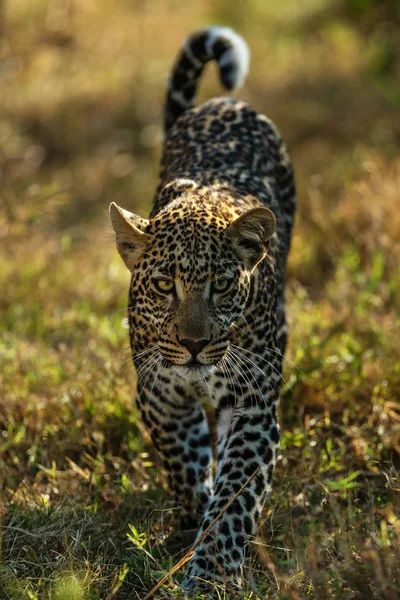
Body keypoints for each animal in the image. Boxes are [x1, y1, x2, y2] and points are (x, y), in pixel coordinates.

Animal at [108, 25, 296, 596]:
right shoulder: (159, 392)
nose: (193, 345)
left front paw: (211, 572)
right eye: (163, 286)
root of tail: (221, 101)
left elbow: (235, 499)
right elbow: (184, 462)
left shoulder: (254, 407)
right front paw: (192, 520)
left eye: (221, 285)